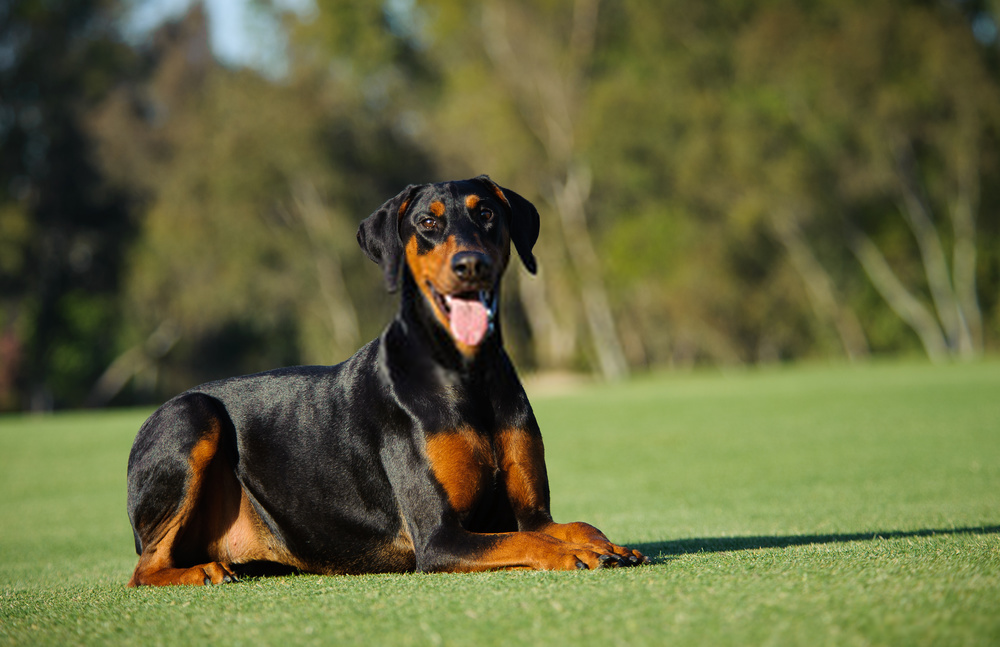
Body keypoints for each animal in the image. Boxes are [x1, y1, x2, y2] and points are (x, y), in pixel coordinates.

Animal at [127, 177, 648, 588]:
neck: (468, 375)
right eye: (428, 223)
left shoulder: (533, 513)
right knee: (144, 570)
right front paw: (572, 553)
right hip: (192, 415)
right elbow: (528, 542)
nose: (471, 264)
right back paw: (201, 571)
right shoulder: (439, 537)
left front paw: (605, 544)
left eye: (486, 214)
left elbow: (568, 524)